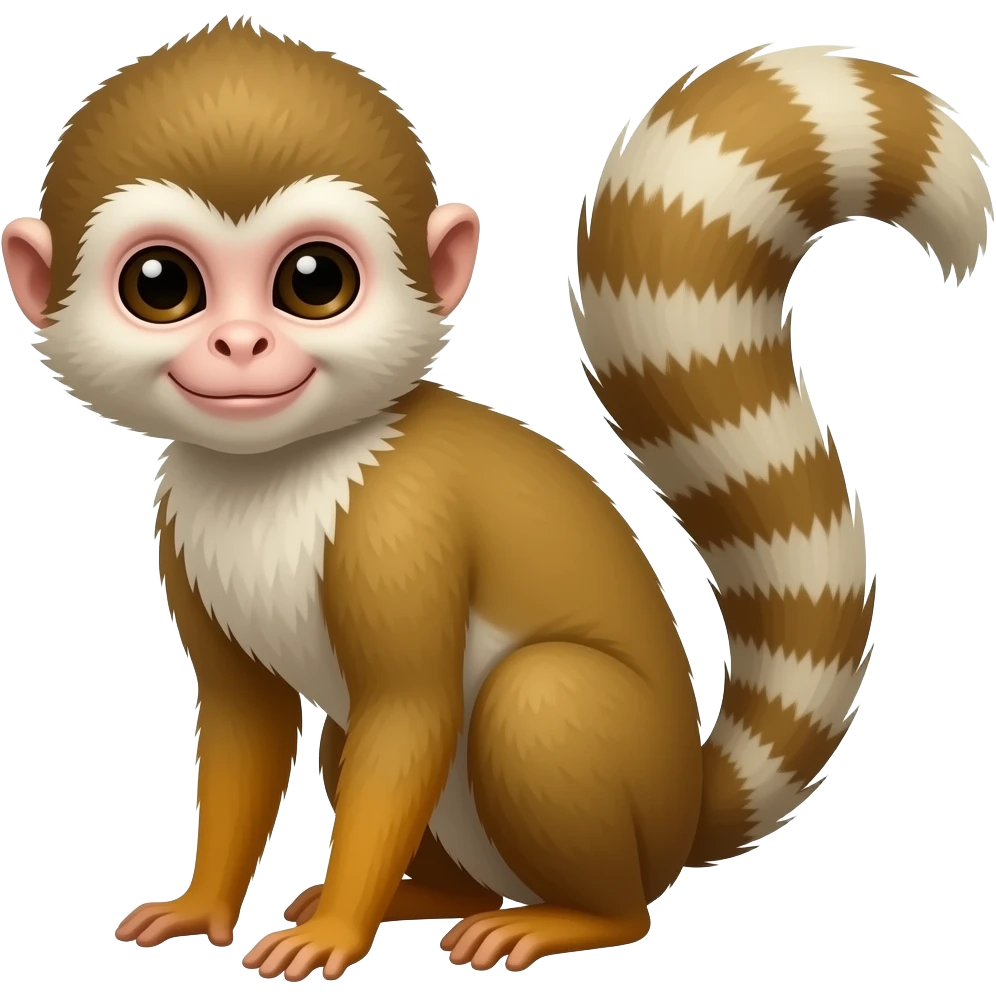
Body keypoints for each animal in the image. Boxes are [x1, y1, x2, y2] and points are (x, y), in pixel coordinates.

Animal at [2, 21, 990, 982]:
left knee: (539, 706)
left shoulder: (401, 521)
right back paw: (432, 895)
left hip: (604, 778)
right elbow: (248, 719)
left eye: (313, 281)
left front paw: (341, 933)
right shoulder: (179, 531)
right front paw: (205, 902)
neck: (273, 476)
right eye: (161, 285)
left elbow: (410, 708)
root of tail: (684, 804)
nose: (240, 345)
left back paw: (573, 917)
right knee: (361, 752)